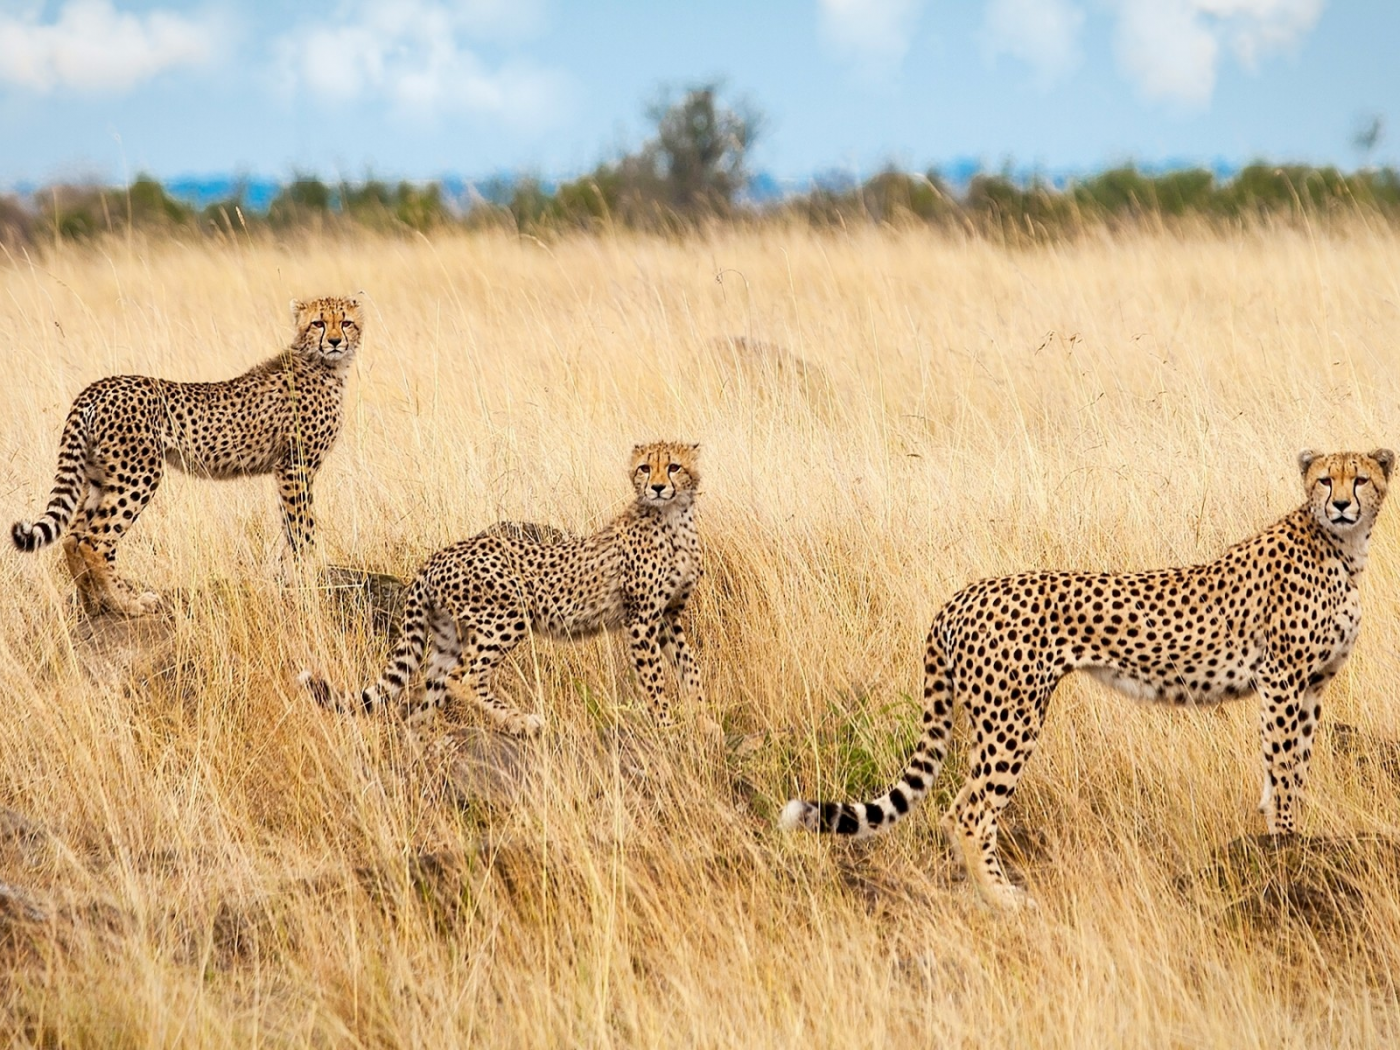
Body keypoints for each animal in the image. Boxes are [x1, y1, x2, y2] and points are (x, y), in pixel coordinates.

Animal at [11, 296, 361, 616]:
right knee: (94, 540)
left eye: (345, 322)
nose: (334, 341)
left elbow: (290, 528)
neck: (323, 365)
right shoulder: (296, 467)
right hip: (138, 475)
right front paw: (307, 580)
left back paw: (94, 604)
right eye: (318, 323)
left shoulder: (287, 471)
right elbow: (303, 529)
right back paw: (127, 604)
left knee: (73, 536)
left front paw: (293, 578)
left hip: (100, 477)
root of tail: (100, 385)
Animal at [301, 439, 705, 733]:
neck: (674, 518)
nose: (656, 488)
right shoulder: (642, 619)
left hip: (448, 636)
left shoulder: (668, 616)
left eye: (674, 467)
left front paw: (703, 720)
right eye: (644, 467)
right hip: (506, 616)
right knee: (463, 678)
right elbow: (654, 679)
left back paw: (425, 746)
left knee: (426, 697)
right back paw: (522, 721)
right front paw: (666, 725)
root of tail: (437, 555)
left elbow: (689, 668)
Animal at [784, 448, 1394, 907]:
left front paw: (1282, 836)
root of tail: (962, 595)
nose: (1341, 504)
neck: (1343, 548)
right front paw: (1287, 846)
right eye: (1325, 478)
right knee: (968, 813)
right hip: (1013, 719)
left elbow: (1290, 766)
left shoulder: (1310, 686)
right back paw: (1004, 900)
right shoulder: (1284, 680)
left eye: (1360, 478)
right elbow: (1286, 766)